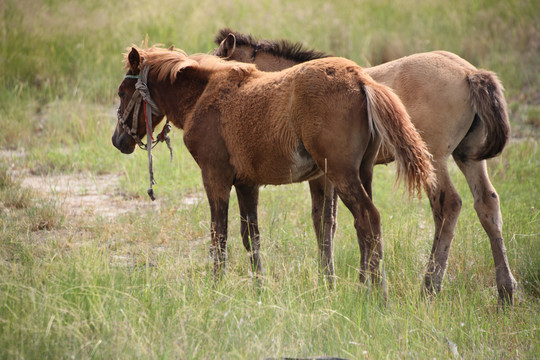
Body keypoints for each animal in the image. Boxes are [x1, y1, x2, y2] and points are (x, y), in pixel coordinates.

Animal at [110, 45, 434, 298]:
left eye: (123, 92)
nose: (118, 140)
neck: (202, 96)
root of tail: (361, 79)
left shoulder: (215, 178)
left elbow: (219, 236)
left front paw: (216, 288)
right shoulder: (246, 184)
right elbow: (251, 237)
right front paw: (259, 289)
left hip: (343, 176)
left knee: (369, 219)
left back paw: (376, 294)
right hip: (361, 174)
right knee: (359, 226)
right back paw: (363, 285)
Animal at [213, 28, 516, 304]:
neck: (284, 88)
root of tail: (470, 73)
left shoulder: (322, 176)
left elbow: (323, 222)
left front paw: (331, 281)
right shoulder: (333, 174)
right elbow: (333, 222)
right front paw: (345, 281)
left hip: (434, 159)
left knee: (448, 204)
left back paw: (429, 287)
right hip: (468, 156)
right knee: (487, 203)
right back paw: (506, 291)